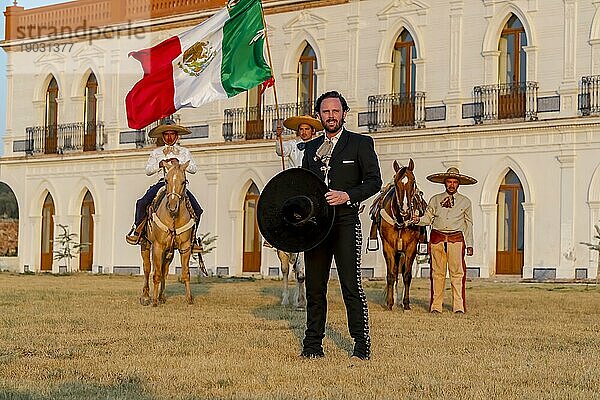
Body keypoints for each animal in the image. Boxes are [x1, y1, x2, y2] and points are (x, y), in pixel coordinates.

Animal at [139, 159, 196, 306]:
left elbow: (186, 273)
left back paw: (161, 296)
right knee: (147, 268)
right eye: (166, 180)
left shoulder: (185, 247)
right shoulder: (158, 246)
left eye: (184, 181)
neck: (173, 217)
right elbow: (156, 274)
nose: (172, 206)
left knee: (164, 270)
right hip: (146, 244)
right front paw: (154, 301)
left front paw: (189, 298)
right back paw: (146, 296)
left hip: (169, 251)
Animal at [370, 158, 426, 310]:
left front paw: (406, 303)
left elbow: (407, 275)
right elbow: (391, 274)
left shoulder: (411, 247)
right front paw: (390, 302)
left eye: (413, 181)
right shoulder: (388, 247)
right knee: (395, 272)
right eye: (396, 182)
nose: (405, 209)